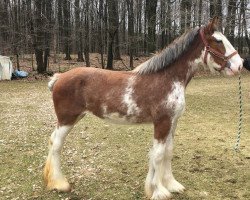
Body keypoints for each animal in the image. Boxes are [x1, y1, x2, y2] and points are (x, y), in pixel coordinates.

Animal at [43, 17, 242, 200]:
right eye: (218, 40)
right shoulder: (162, 123)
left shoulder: (173, 122)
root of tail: (59, 77)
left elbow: (168, 152)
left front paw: (172, 184)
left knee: (53, 140)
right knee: (57, 144)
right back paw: (60, 183)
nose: (240, 65)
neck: (168, 78)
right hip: (67, 119)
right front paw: (158, 191)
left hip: (75, 117)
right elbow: (158, 155)